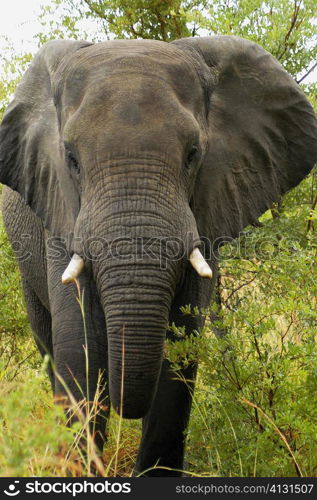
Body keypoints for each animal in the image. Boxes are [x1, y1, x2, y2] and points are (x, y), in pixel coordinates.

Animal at [0, 36, 316, 476]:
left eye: (193, 154)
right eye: (71, 159)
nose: (126, 410)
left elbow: (179, 345)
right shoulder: (59, 211)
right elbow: (80, 347)